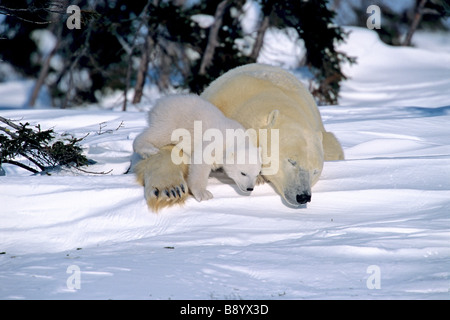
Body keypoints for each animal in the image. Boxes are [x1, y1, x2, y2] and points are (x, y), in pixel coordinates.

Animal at [132, 94, 262, 204]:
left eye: (256, 174)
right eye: (243, 173)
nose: (250, 188)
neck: (236, 139)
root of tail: (159, 103)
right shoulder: (216, 142)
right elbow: (201, 161)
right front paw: (203, 193)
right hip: (172, 119)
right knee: (160, 133)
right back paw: (147, 149)